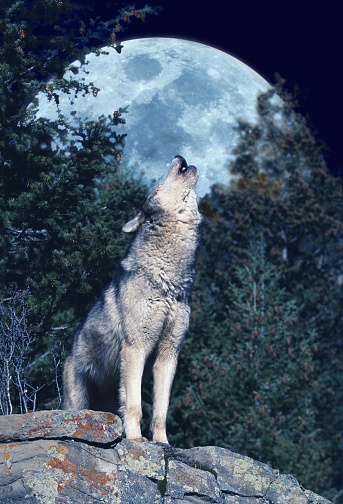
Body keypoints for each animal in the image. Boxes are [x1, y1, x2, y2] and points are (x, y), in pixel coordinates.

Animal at [62, 156, 202, 442]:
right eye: (157, 187)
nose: (179, 156)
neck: (168, 281)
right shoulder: (136, 348)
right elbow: (136, 405)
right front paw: (136, 440)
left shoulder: (169, 355)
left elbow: (160, 410)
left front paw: (162, 443)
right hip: (77, 401)